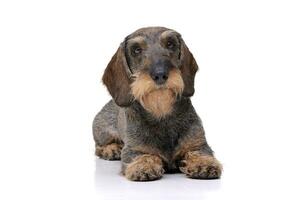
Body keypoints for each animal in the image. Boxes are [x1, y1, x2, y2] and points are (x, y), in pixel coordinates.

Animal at [94, 26, 223, 181]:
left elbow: (200, 151)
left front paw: (203, 163)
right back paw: (111, 149)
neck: (161, 112)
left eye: (170, 44)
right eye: (136, 49)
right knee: (98, 147)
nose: (160, 74)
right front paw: (143, 165)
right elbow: (142, 155)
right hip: (103, 132)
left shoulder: (199, 143)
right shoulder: (133, 149)